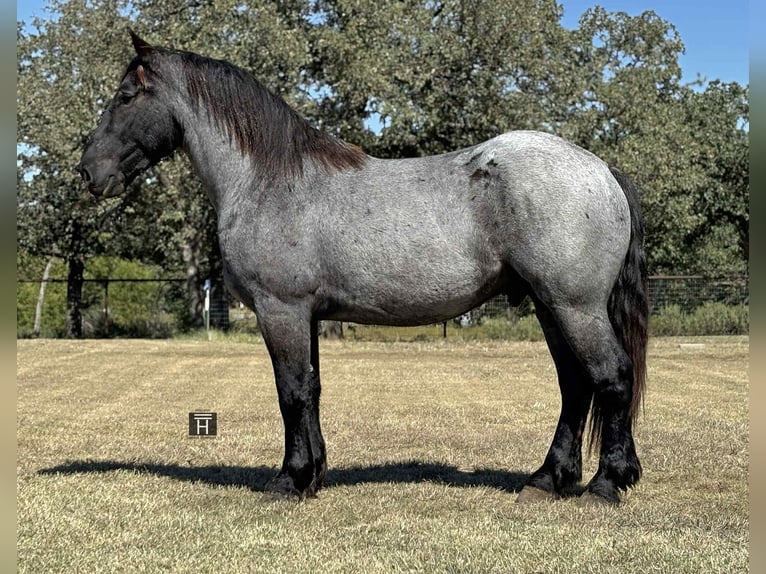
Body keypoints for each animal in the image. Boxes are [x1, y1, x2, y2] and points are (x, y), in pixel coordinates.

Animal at [77, 31, 648, 505]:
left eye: (126, 96)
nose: (89, 172)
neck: (268, 180)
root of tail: (600, 168)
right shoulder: (305, 315)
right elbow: (311, 390)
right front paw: (313, 475)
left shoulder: (280, 310)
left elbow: (291, 391)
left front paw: (289, 481)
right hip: (551, 306)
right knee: (575, 384)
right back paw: (547, 479)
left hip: (574, 306)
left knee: (611, 376)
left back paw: (605, 484)